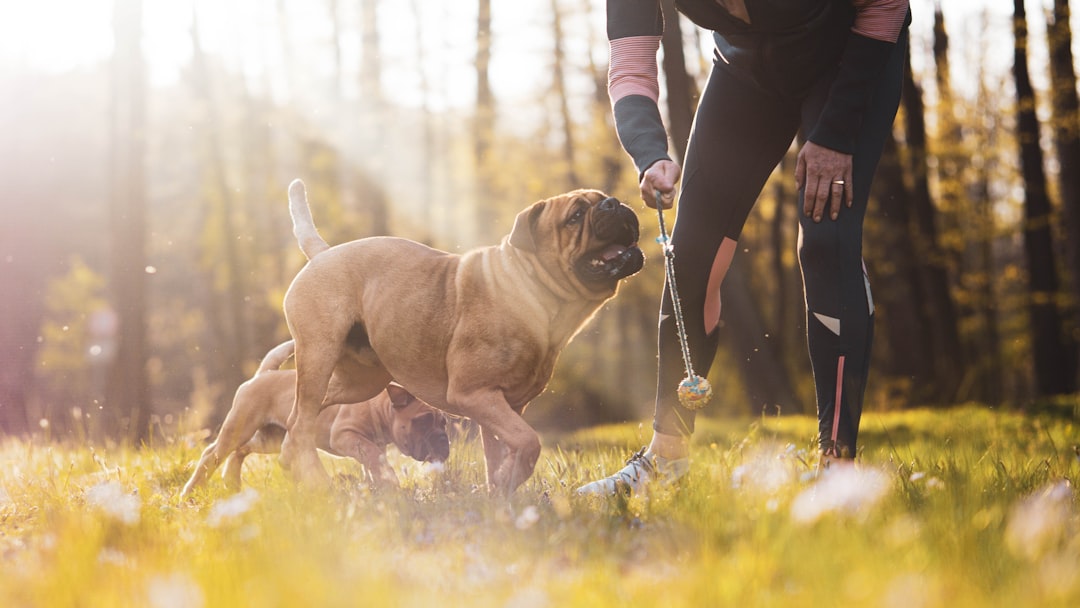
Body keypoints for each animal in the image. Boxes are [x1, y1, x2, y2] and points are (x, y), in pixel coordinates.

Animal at [179, 336, 449, 498]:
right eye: (423, 420)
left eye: (444, 423)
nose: (442, 440)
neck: (380, 407)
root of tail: (263, 373)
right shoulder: (346, 435)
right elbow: (375, 457)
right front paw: (389, 482)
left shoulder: (368, 443)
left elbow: (372, 464)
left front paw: (378, 488)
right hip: (241, 426)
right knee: (212, 454)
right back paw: (190, 492)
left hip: (271, 439)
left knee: (241, 450)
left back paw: (232, 480)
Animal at [282, 179, 643, 494]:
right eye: (576, 216)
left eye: (603, 198)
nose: (614, 203)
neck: (528, 288)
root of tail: (323, 253)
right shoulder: (476, 395)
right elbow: (528, 442)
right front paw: (510, 480)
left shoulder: (505, 406)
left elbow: (500, 452)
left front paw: (500, 495)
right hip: (319, 356)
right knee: (302, 420)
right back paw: (315, 480)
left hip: (360, 380)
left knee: (299, 416)